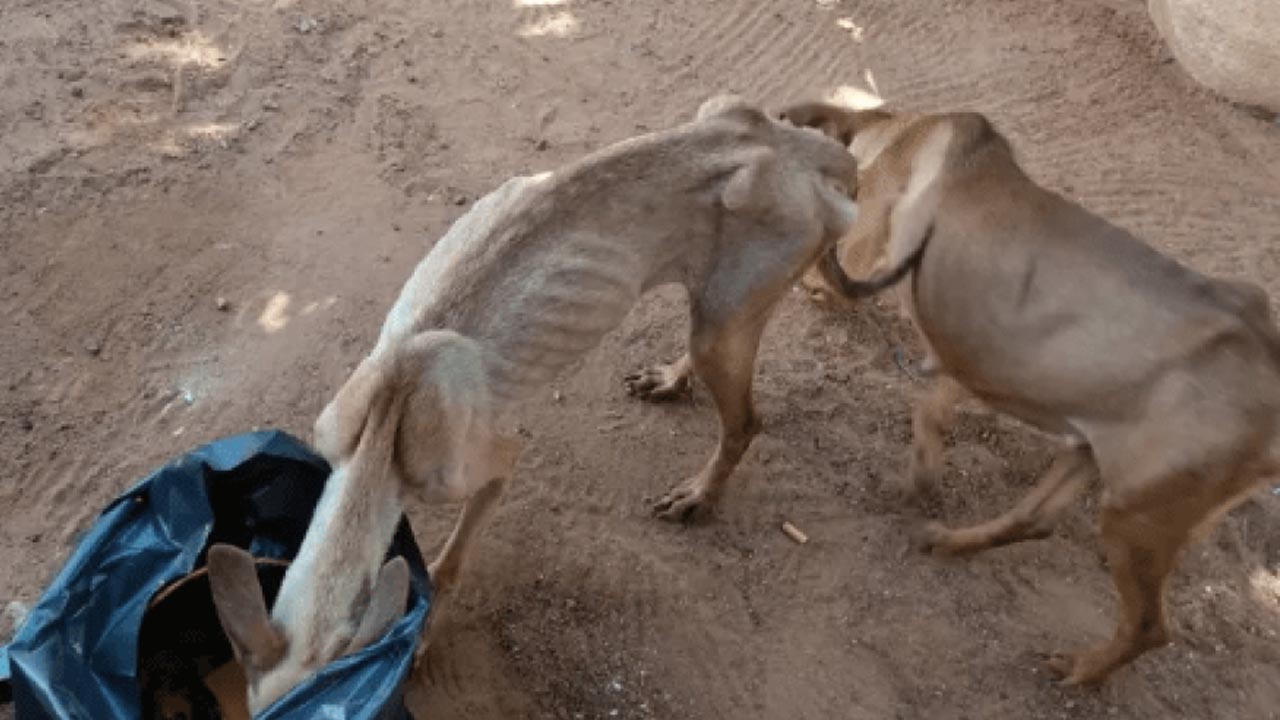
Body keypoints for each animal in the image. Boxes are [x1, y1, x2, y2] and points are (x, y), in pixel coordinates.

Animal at [209, 95, 860, 712]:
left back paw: (698, 495)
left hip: (730, 316)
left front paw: (424, 634)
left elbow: (449, 566)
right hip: (719, 262)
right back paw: (671, 380)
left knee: (746, 423)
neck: (385, 426)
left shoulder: (493, 463)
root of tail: (806, 151)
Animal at [773, 101, 1280, 681]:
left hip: (1137, 520)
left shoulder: (870, 264)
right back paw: (949, 542)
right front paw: (925, 474)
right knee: (1035, 521)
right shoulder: (971, 361)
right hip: (1097, 461)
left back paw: (1081, 670)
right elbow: (932, 409)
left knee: (1151, 627)